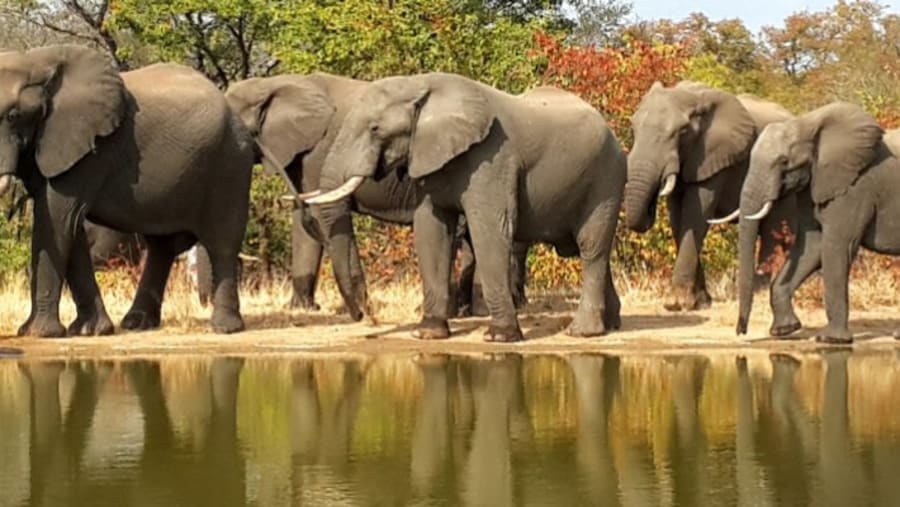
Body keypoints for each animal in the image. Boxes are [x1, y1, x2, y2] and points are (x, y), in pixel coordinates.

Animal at [0, 44, 253, 337]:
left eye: (13, 116)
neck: (35, 60)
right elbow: (68, 228)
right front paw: (92, 331)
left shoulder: (89, 152)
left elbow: (57, 218)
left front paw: (38, 333)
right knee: (162, 247)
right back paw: (137, 324)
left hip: (230, 165)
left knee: (221, 244)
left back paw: (225, 328)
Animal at [223, 73, 528, 320]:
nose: (366, 315)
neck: (275, 83)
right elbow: (304, 223)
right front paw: (302, 309)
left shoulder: (317, 154)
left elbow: (327, 212)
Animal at [303, 73, 626, 342]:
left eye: (374, 128)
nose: (367, 317)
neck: (422, 84)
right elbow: (431, 230)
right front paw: (428, 334)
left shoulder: (492, 158)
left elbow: (490, 229)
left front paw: (499, 337)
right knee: (591, 250)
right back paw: (610, 325)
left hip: (605, 181)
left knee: (590, 247)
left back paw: (582, 333)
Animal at [626, 81, 794, 312]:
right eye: (634, 127)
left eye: (682, 132)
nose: (650, 208)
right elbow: (677, 220)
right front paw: (701, 302)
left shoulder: (713, 155)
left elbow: (695, 217)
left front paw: (676, 304)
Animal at [736, 101, 900, 343]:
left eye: (784, 161)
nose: (741, 331)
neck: (807, 123)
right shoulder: (812, 186)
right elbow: (811, 246)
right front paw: (784, 330)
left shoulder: (854, 189)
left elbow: (837, 245)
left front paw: (830, 339)